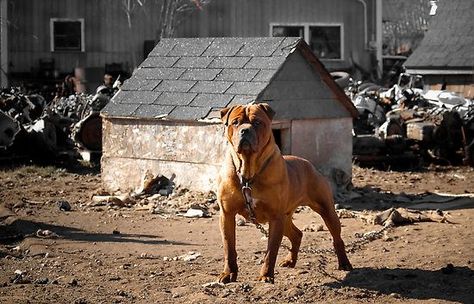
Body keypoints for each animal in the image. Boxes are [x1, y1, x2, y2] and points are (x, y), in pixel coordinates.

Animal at [218, 103, 352, 284]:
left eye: (257, 122)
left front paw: (266, 275)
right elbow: (229, 247)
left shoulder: (275, 218)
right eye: (235, 122)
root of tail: (309, 164)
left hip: (326, 211)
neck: (249, 172)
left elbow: (271, 251)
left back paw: (344, 263)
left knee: (337, 238)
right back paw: (290, 260)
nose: (245, 130)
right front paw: (228, 273)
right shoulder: (227, 214)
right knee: (296, 235)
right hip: (286, 217)